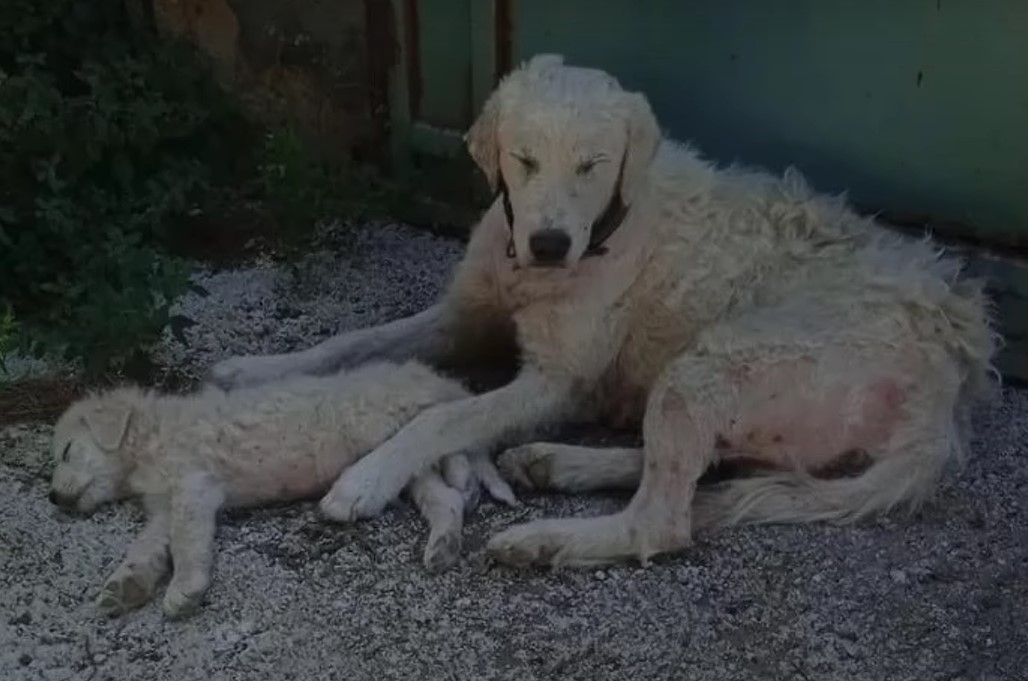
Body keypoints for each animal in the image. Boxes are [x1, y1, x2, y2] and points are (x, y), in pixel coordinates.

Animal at [47, 360, 514, 621]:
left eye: (67, 451)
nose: (52, 498)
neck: (149, 437)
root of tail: (425, 373)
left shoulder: (193, 484)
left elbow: (184, 540)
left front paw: (185, 588)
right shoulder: (165, 504)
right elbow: (145, 547)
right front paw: (124, 586)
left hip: (389, 419)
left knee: (456, 430)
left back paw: (467, 477)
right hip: (400, 463)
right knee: (442, 492)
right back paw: (445, 543)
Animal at [208, 53, 995, 567]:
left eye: (593, 164)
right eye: (524, 159)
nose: (550, 244)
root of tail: (950, 375)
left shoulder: (555, 382)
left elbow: (444, 416)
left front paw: (366, 478)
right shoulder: (463, 316)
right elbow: (352, 342)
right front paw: (254, 369)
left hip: (716, 363)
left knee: (664, 520)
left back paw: (547, 539)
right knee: (696, 468)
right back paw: (559, 464)